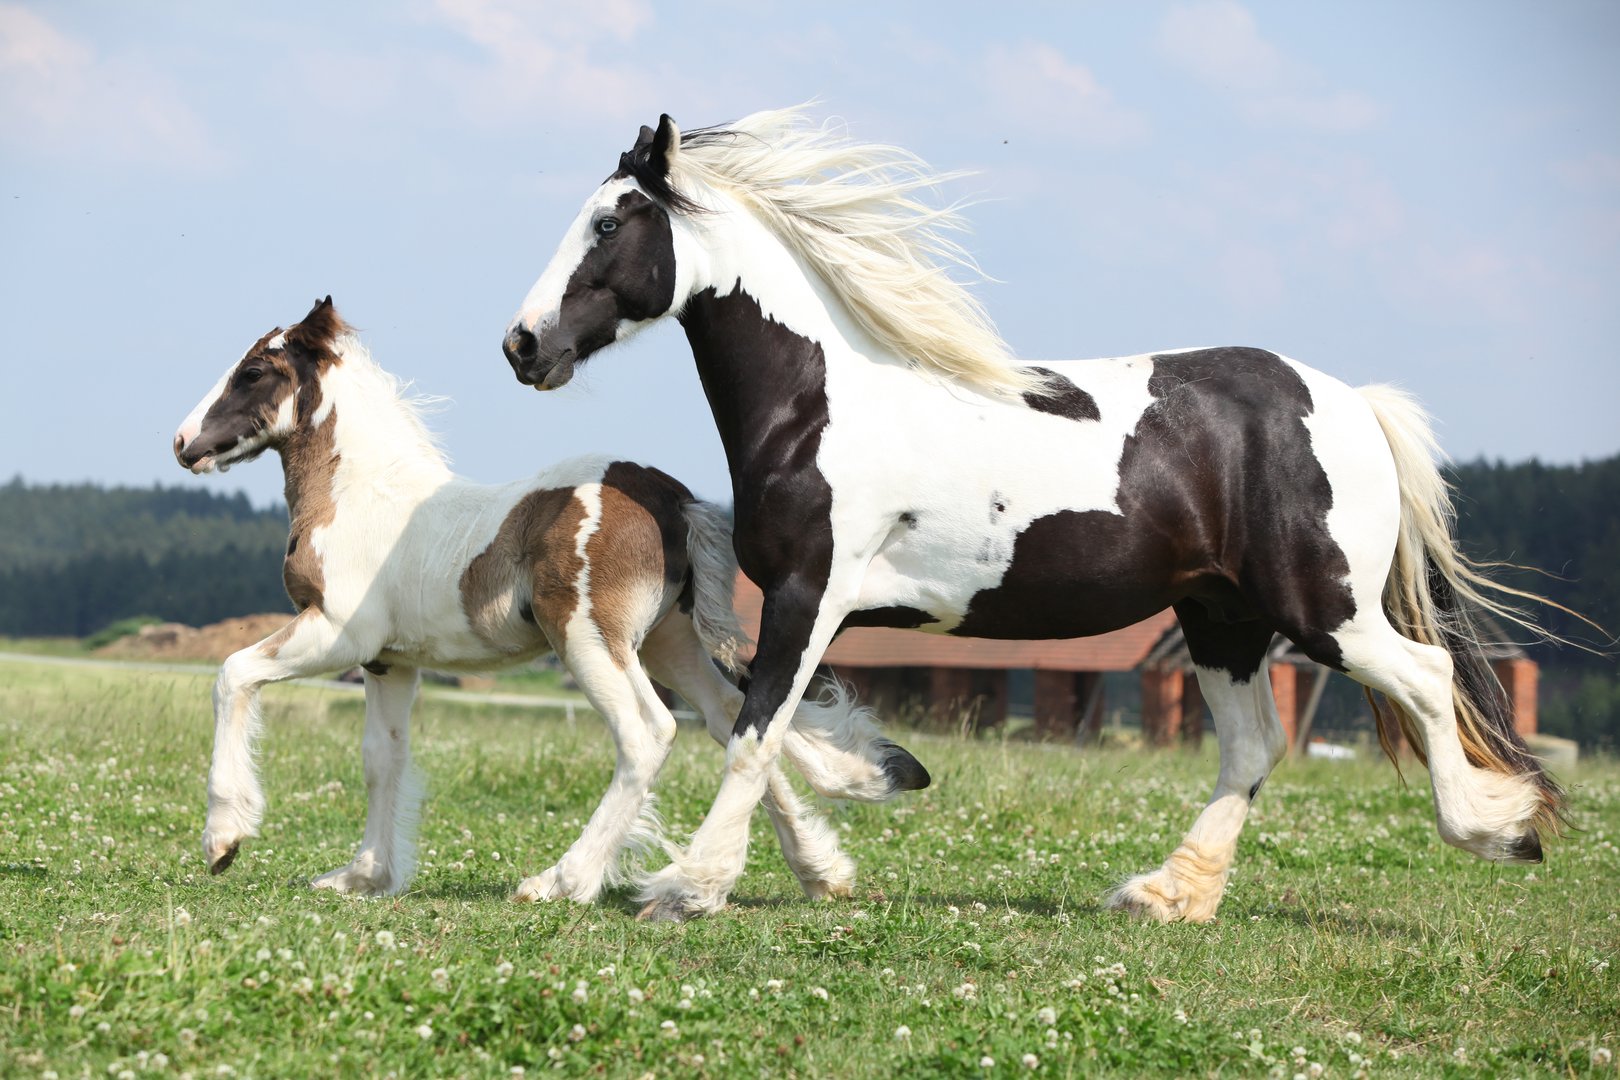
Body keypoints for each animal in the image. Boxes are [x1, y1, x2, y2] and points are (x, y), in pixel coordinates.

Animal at [172, 296, 929, 902]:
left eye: (253, 371)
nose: (182, 443)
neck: (363, 496)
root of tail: (671, 496)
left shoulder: (336, 634)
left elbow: (232, 674)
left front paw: (225, 838)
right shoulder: (391, 662)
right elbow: (382, 760)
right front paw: (363, 876)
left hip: (589, 637)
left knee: (649, 733)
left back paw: (563, 880)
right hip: (668, 641)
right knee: (735, 718)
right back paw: (817, 872)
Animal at [501, 106, 1569, 923]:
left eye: (609, 223)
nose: (522, 344)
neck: (819, 402)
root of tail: (1354, 404)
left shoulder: (813, 595)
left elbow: (755, 733)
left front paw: (687, 887)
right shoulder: (804, 608)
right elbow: (760, 726)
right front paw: (871, 782)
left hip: (1323, 609)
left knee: (1428, 679)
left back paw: (1499, 829)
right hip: (1222, 617)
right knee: (1254, 746)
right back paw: (1168, 895)